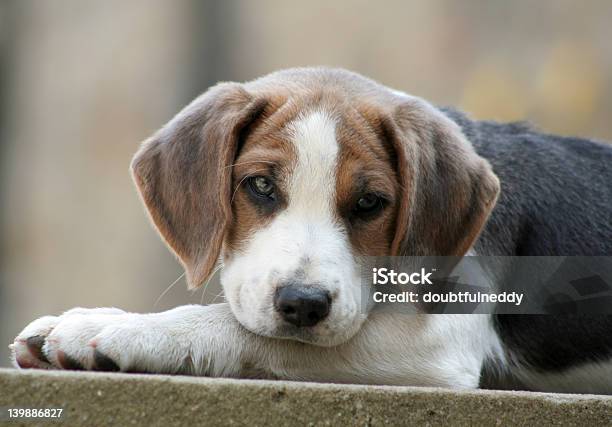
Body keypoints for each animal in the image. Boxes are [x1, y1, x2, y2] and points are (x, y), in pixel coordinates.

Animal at [9, 67, 612, 394]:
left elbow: (241, 329)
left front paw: (119, 330)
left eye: (370, 202)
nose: (303, 303)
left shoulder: (439, 338)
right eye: (259, 186)